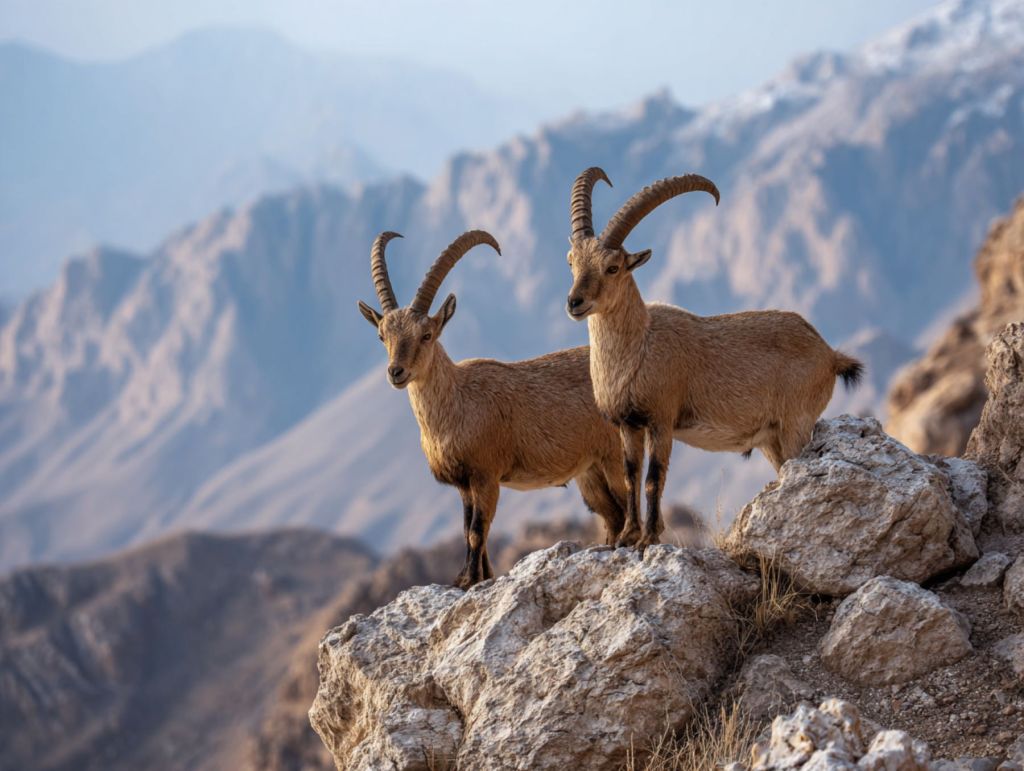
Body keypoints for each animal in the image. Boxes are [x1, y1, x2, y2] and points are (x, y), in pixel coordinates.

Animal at [357, 230, 628, 587]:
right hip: (591, 471)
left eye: (426, 334)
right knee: (612, 514)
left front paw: (470, 580)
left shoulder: (486, 476)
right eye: (381, 335)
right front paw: (476, 577)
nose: (396, 372)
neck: (456, 406)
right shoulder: (464, 484)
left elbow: (477, 530)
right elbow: (469, 530)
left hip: (613, 456)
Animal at [564, 168, 863, 550]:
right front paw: (628, 536)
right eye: (572, 261)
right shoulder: (628, 424)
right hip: (771, 440)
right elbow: (631, 476)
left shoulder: (661, 419)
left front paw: (649, 538)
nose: (575, 302)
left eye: (613, 267)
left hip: (797, 423)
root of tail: (828, 353)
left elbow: (653, 477)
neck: (637, 349)